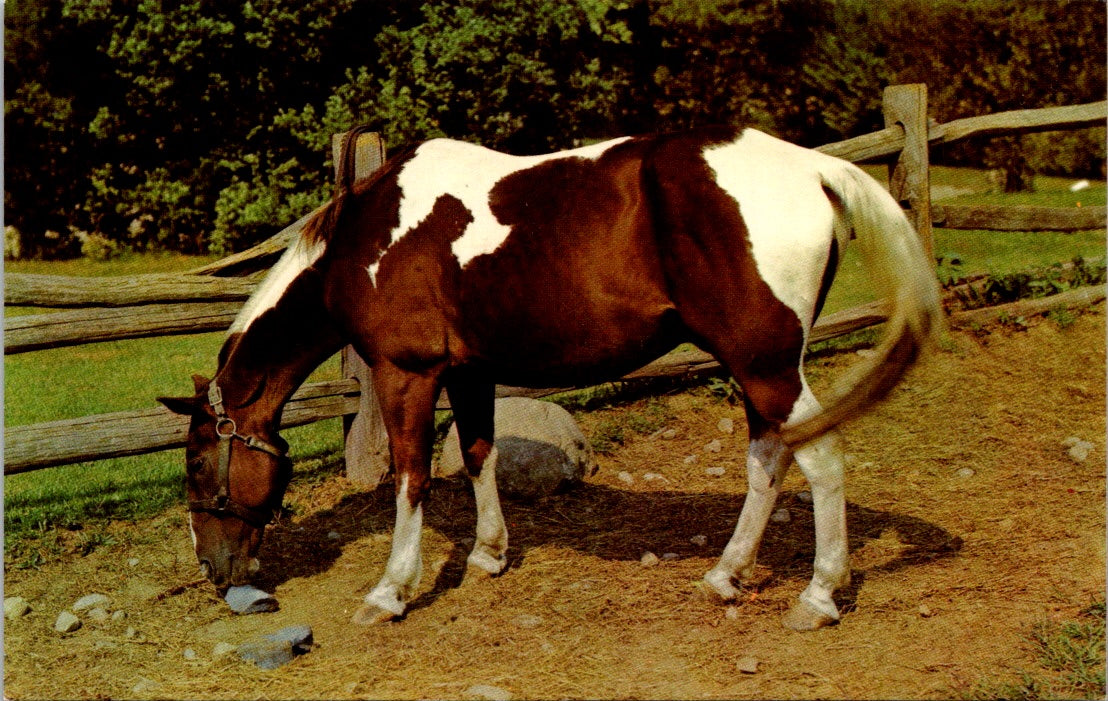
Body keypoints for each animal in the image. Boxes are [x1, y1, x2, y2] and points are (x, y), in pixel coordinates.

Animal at [158, 122, 944, 633]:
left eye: (197, 463)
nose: (213, 569)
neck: (371, 235)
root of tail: (813, 168)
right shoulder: (469, 371)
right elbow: (478, 455)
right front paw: (488, 554)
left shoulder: (406, 372)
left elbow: (412, 475)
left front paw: (391, 591)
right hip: (758, 370)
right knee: (768, 462)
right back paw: (725, 575)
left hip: (767, 365)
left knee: (821, 458)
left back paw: (817, 597)